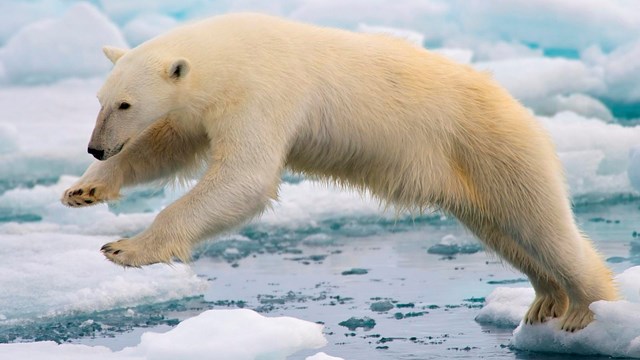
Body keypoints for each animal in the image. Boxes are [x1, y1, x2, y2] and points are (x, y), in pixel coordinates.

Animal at [61, 14, 616, 330]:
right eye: (101, 99)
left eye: (125, 103)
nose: (95, 147)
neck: (229, 53)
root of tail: (520, 108)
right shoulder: (205, 106)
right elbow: (167, 146)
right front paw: (84, 189)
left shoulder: (263, 91)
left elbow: (245, 177)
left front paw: (125, 248)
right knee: (505, 232)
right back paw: (545, 300)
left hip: (493, 146)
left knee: (541, 224)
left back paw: (586, 310)